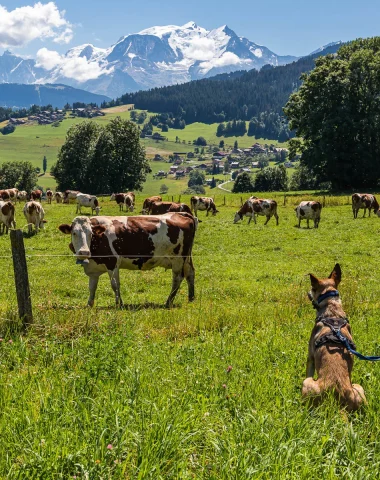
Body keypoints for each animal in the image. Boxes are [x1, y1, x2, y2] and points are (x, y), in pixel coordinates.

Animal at [59, 213, 197, 308]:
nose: (84, 252)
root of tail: (181, 213)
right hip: (186, 258)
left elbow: (115, 285)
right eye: (74, 233)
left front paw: (119, 304)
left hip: (178, 258)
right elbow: (92, 287)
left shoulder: (112, 262)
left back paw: (168, 302)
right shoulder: (93, 269)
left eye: (90, 233)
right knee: (190, 273)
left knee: (177, 278)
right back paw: (191, 298)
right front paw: (89, 304)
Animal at [302, 264, 366, 410]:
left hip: (307, 383)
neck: (332, 310)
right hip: (358, 388)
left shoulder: (310, 357)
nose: (308, 293)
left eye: (313, 288)